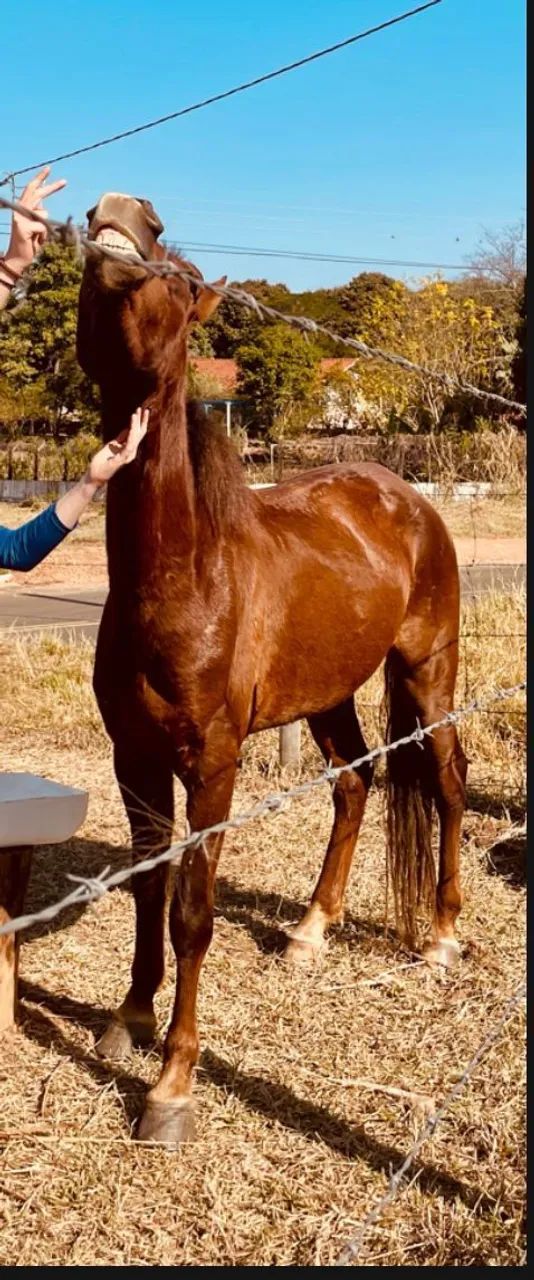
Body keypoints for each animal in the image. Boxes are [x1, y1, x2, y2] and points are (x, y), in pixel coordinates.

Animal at [76, 192, 467, 1147]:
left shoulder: (211, 766)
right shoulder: (134, 762)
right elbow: (147, 888)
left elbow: (192, 912)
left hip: (429, 671)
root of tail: (409, 499)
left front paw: (172, 1084)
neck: (184, 578)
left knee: (445, 781)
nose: (121, 212)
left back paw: (442, 934)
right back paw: (311, 930)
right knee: (356, 785)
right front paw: (130, 1017)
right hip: (330, 696)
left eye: (181, 280)